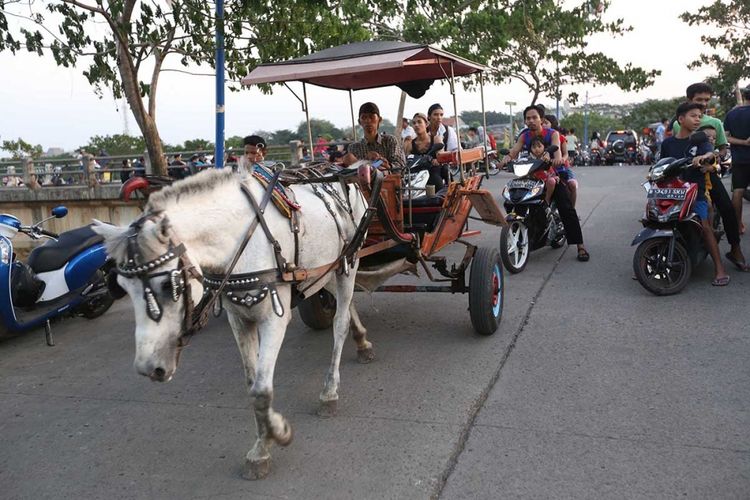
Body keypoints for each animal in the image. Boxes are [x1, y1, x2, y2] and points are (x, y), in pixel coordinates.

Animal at [93, 169, 374, 480]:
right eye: (122, 286)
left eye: (169, 284)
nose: (147, 368)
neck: (242, 240)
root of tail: (345, 176)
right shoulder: (238, 319)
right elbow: (252, 385)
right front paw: (262, 444)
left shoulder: (274, 318)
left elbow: (262, 390)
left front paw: (278, 433)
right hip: (324, 270)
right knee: (343, 302)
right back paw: (362, 341)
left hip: (348, 262)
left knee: (340, 322)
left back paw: (330, 391)